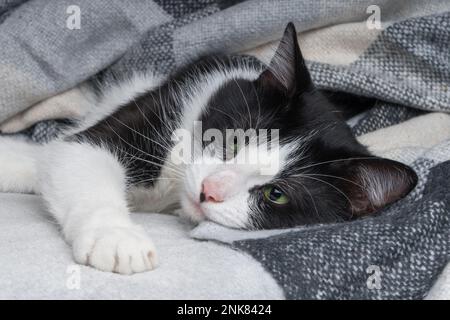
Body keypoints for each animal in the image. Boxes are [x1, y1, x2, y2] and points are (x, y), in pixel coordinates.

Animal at [0, 23, 416, 274]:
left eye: (276, 194)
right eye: (234, 140)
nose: (209, 191)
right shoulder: (167, 101)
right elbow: (78, 149)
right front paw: (116, 238)